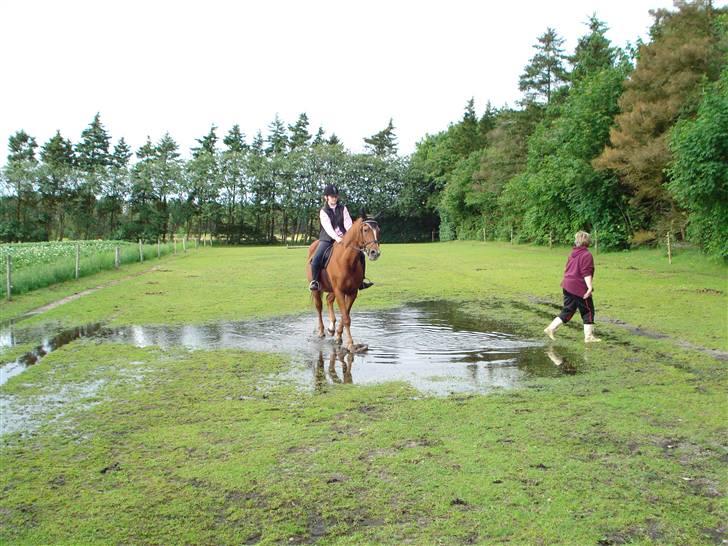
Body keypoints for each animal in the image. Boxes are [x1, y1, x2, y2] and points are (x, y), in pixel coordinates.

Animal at [304, 217, 382, 352]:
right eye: (365, 230)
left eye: (378, 230)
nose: (374, 253)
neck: (347, 261)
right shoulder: (340, 291)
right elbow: (346, 317)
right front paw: (350, 343)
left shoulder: (352, 293)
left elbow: (345, 314)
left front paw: (338, 336)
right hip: (317, 289)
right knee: (319, 307)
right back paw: (321, 331)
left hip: (332, 289)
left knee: (329, 299)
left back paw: (331, 328)